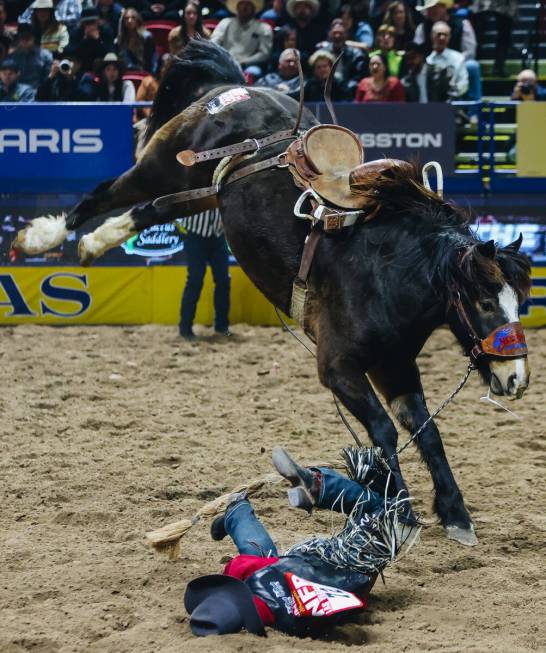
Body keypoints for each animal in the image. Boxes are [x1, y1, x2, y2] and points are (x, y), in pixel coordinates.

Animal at [13, 38, 532, 544]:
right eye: (486, 302)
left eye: (520, 303)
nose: (516, 380)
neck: (385, 273)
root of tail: (230, 86)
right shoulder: (338, 368)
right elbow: (384, 433)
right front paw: (400, 511)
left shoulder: (396, 367)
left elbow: (426, 432)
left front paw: (455, 512)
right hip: (163, 165)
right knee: (104, 194)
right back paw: (46, 238)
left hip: (204, 194)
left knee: (150, 211)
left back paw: (92, 243)